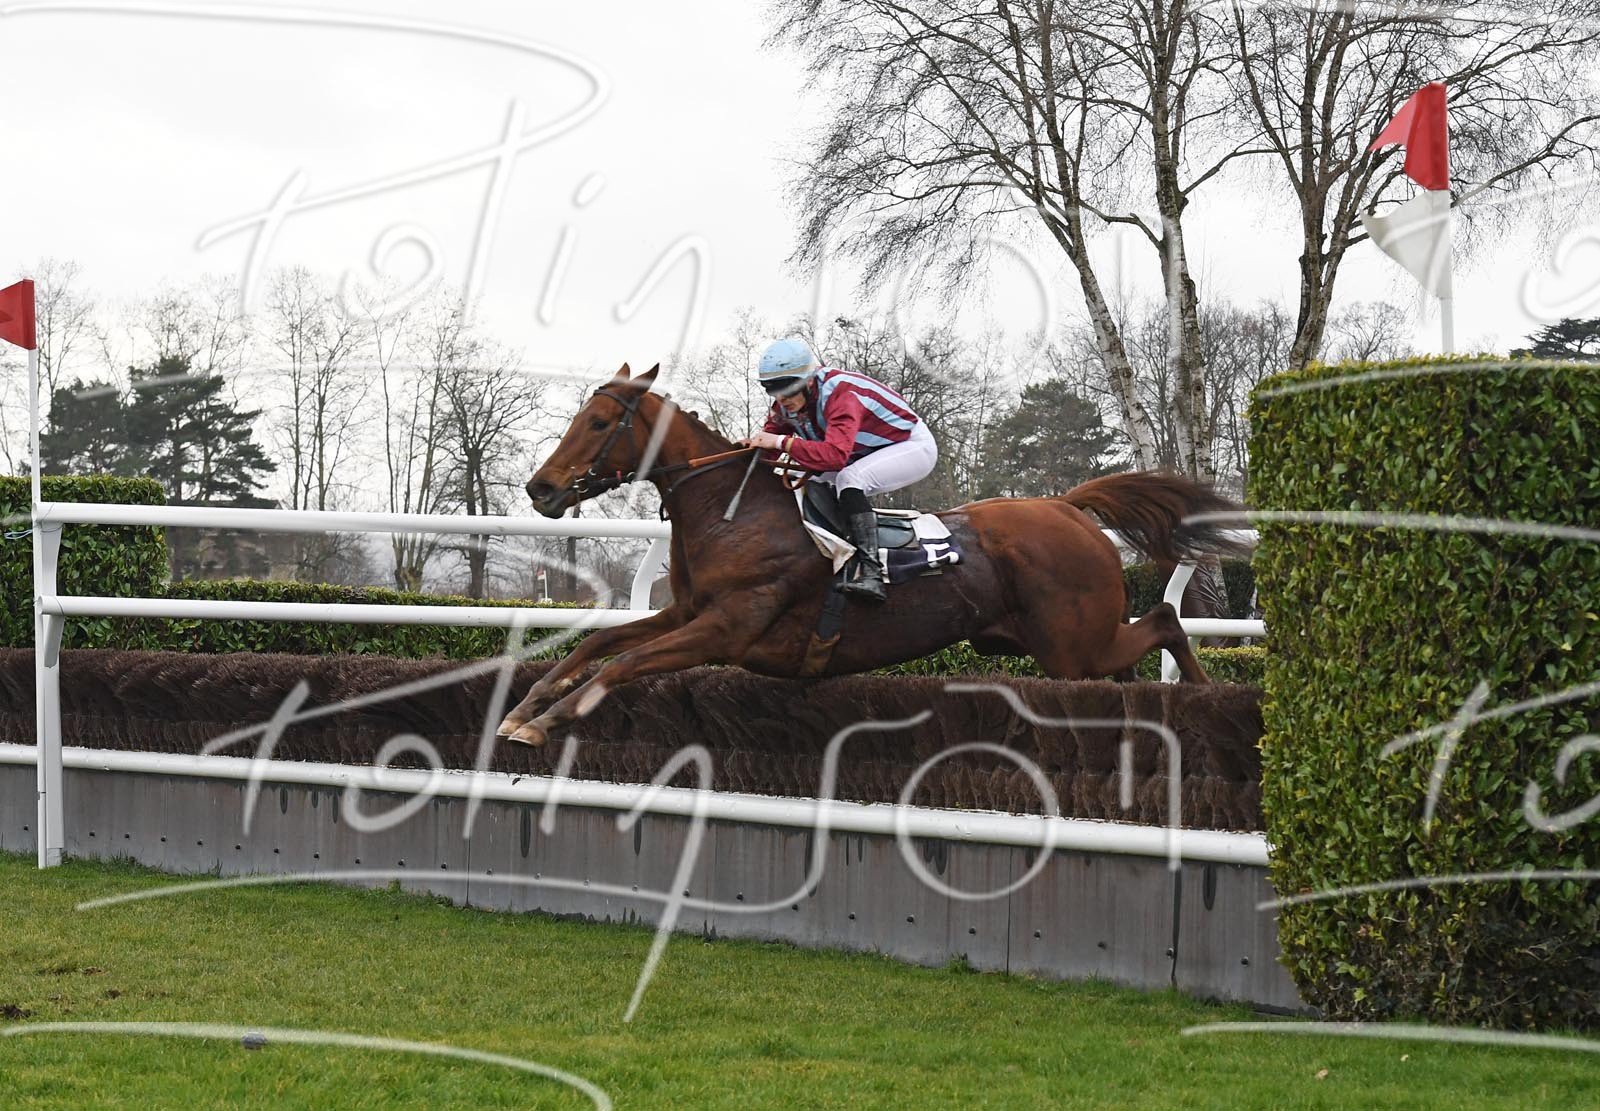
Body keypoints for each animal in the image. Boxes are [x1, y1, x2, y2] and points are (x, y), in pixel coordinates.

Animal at [497, 363, 1246, 746]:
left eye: (598, 422)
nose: (541, 488)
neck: (736, 511)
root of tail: (1066, 505)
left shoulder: (727, 627)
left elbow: (624, 662)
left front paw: (549, 720)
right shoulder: (687, 612)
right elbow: (598, 643)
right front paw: (527, 703)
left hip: (1072, 644)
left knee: (1165, 623)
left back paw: (1207, 697)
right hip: (1055, 648)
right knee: (1133, 666)